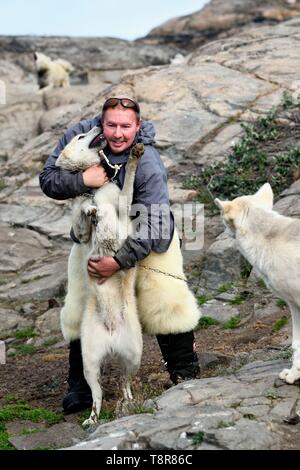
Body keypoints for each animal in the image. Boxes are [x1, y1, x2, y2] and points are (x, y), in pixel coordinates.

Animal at [55, 127, 144, 426]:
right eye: (81, 136)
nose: (96, 128)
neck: (93, 191)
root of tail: (112, 335)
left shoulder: (124, 204)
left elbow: (128, 183)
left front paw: (135, 156)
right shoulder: (82, 231)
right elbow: (84, 218)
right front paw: (89, 210)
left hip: (134, 355)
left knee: (126, 384)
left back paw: (127, 404)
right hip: (90, 363)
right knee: (98, 394)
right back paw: (92, 418)